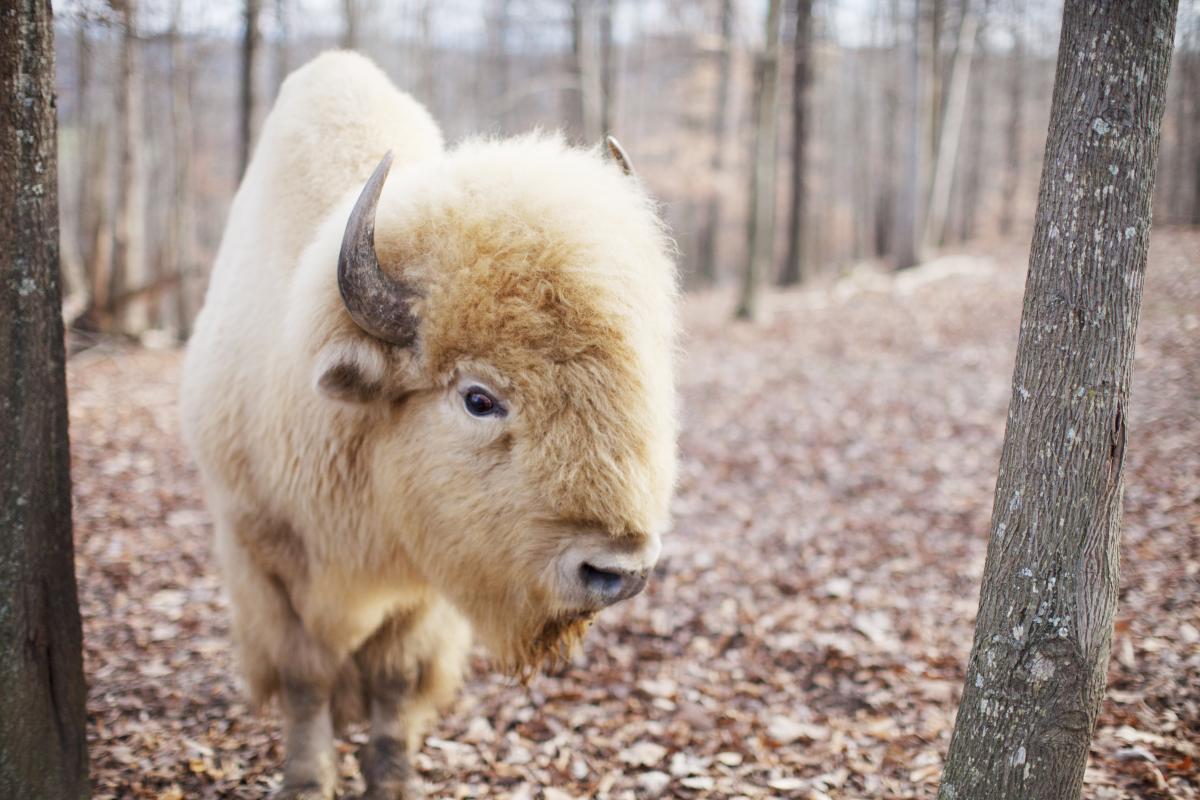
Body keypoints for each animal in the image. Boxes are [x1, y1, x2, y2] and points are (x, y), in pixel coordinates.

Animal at [182, 53, 681, 796]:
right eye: (478, 399)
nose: (618, 570)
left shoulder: (426, 583)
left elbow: (395, 680)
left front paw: (391, 777)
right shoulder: (262, 558)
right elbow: (305, 678)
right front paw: (308, 778)